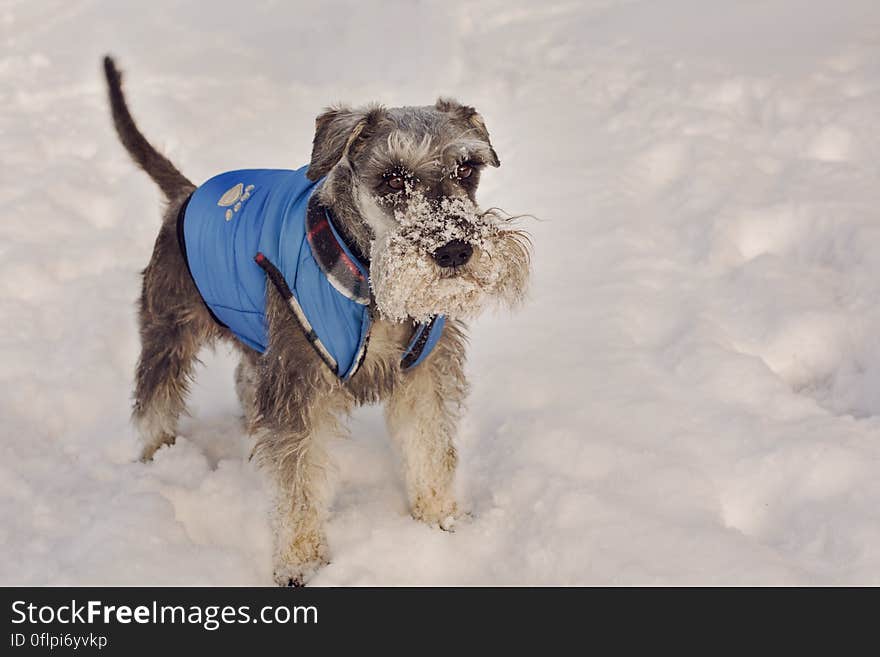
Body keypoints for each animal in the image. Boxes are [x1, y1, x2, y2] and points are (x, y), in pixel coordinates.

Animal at [103, 56, 528, 584]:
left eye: (466, 168)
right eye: (392, 178)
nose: (454, 250)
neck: (370, 281)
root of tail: (186, 194)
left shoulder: (424, 375)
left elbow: (429, 448)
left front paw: (441, 521)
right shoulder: (298, 381)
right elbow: (297, 479)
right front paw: (301, 562)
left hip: (259, 342)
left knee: (245, 380)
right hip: (170, 329)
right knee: (154, 403)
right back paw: (158, 461)